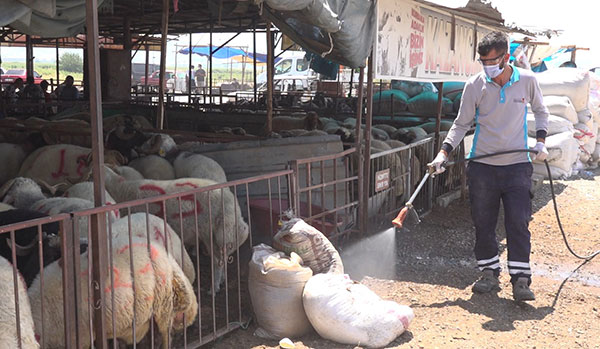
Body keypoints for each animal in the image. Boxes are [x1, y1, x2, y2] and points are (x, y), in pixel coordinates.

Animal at [102, 165, 247, 290]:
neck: (122, 189)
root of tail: (232, 206)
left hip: (210, 234)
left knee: (217, 262)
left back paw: (214, 287)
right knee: (223, 259)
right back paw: (222, 280)